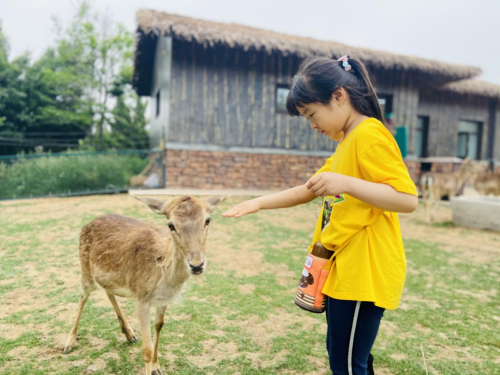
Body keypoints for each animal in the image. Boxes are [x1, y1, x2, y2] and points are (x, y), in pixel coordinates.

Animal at [63, 195, 226, 374]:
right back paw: (69, 343)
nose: (196, 265)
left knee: (108, 291)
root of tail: (88, 224)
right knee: (83, 297)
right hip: (85, 270)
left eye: (207, 220)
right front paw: (151, 365)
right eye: (171, 225)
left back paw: (129, 333)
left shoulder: (162, 301)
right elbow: (146, 349)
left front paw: (157, 367)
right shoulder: (140, 297)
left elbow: (159, 326)